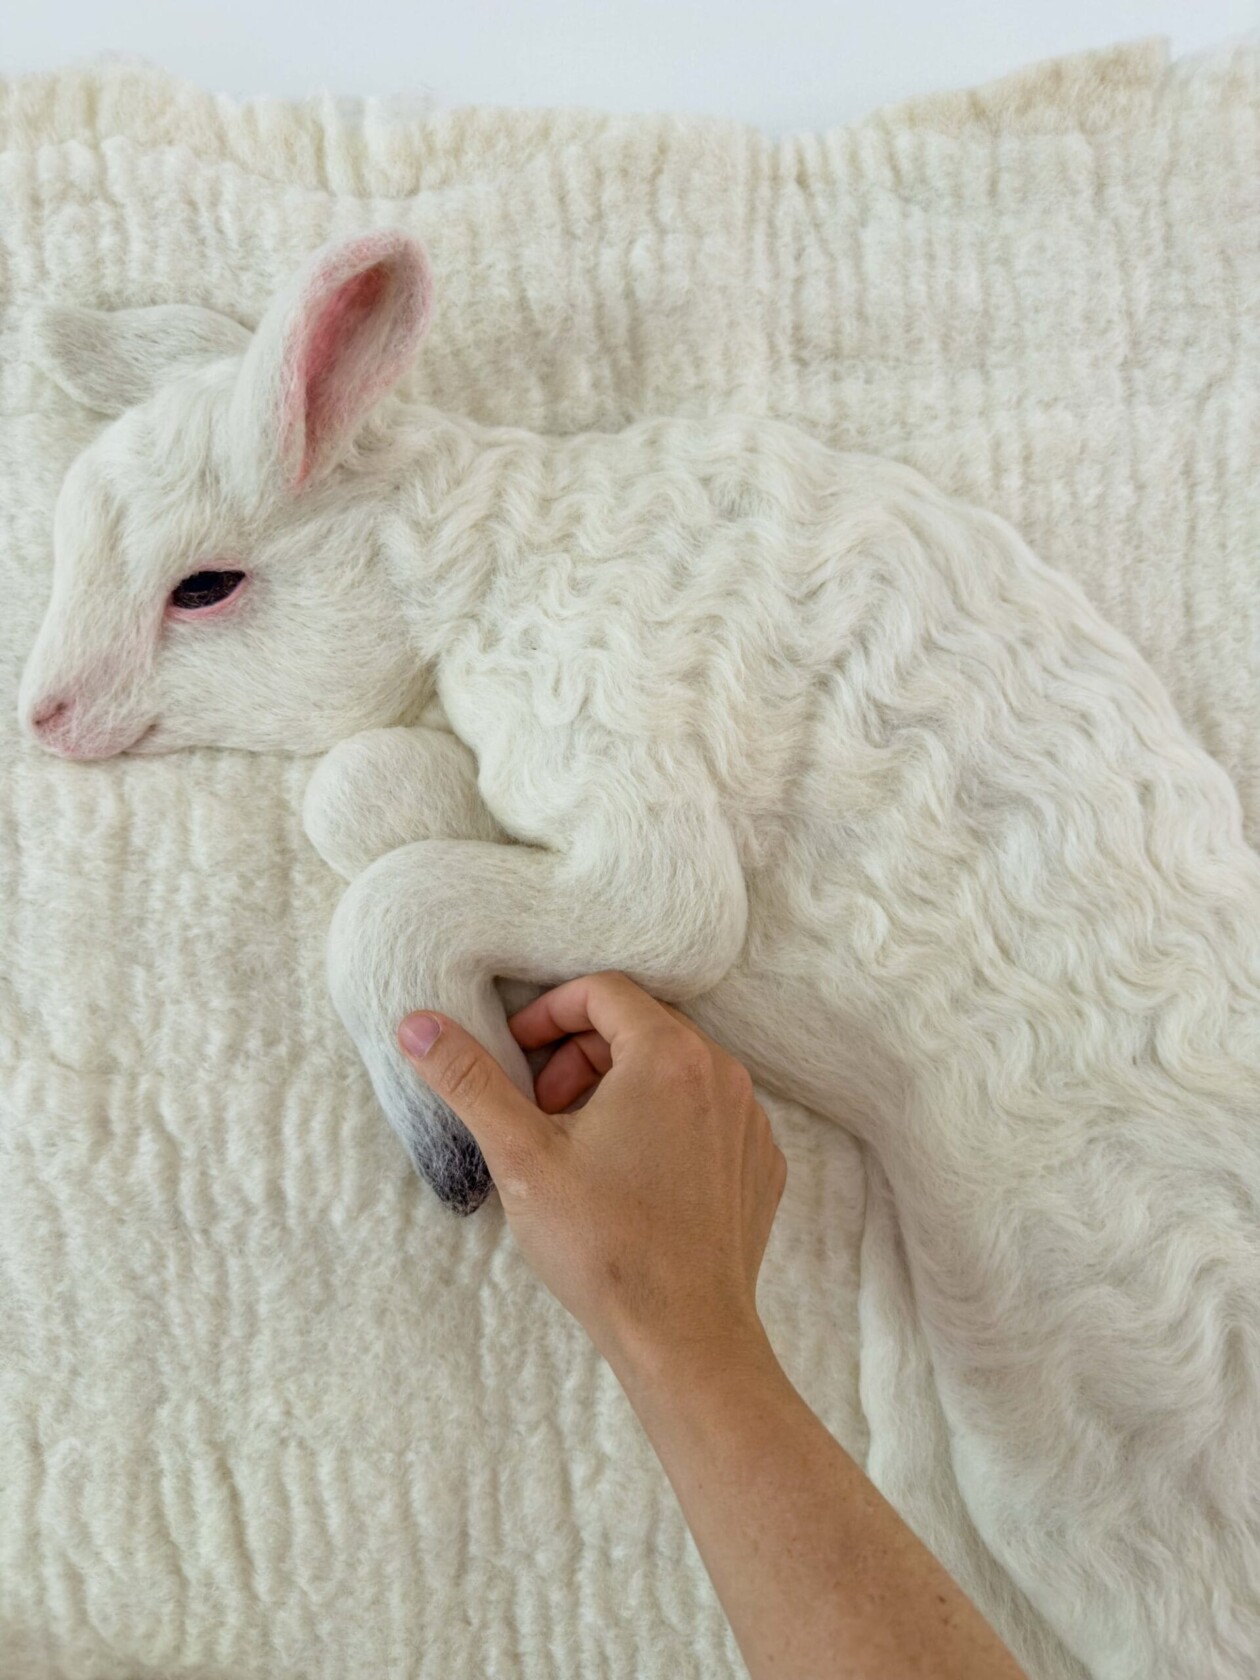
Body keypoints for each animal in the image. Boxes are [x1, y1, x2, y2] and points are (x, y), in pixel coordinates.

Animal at [16, 228, 1260, 1680]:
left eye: (206, 588)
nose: (43, 715)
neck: (484, 559)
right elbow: (368, 799)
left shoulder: (637, 803)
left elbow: (435, 900)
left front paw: (458, 1128)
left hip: (1101, 1401)